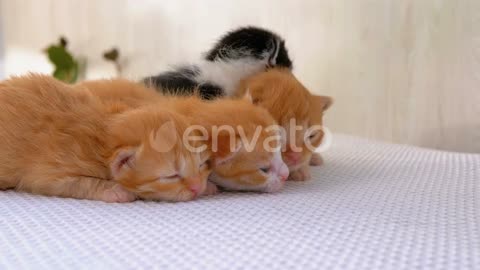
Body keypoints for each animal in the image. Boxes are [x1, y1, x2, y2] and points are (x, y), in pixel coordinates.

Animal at [0, 75, 238, 201]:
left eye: (202, 165)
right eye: (171, 176)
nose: (197, 187)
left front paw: (208, 186)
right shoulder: (50, 171)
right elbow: (76, 183)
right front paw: (117, 190)